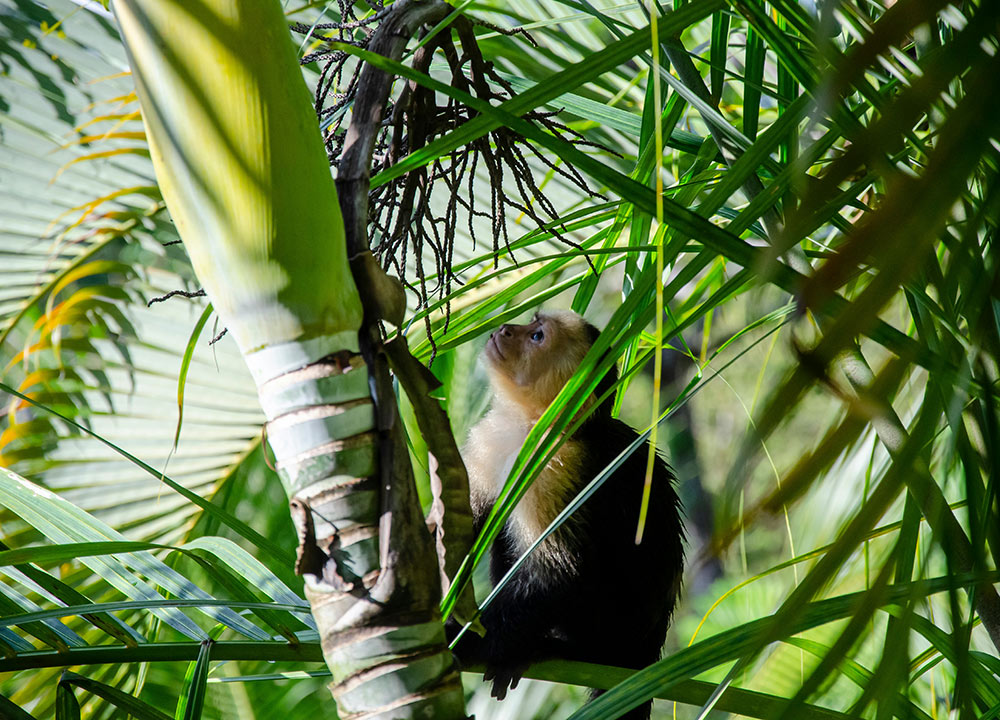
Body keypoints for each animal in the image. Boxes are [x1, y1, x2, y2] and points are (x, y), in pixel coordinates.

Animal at [451, 310, 684, 720]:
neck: (531, 423)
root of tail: (645, 652)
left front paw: (469, 642)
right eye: (531, 321)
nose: (505, 328)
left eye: (537, 337)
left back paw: (549, 648)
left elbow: (558, 572)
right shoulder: (490, 439)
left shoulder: (558, 464)